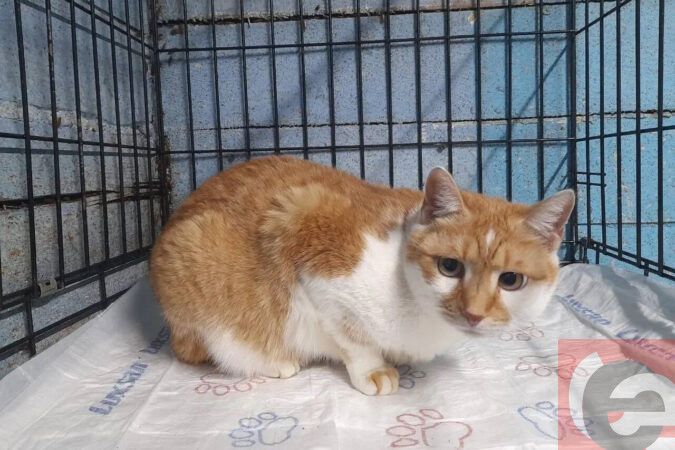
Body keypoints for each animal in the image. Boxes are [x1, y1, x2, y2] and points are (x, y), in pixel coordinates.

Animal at [150, 156, 574, 395]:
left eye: (510, 280)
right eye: (449, 266)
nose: (473, 313)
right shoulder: (306, 233)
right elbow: (352, 336)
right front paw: (375, 369)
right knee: (217, 348)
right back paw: (276, 361)